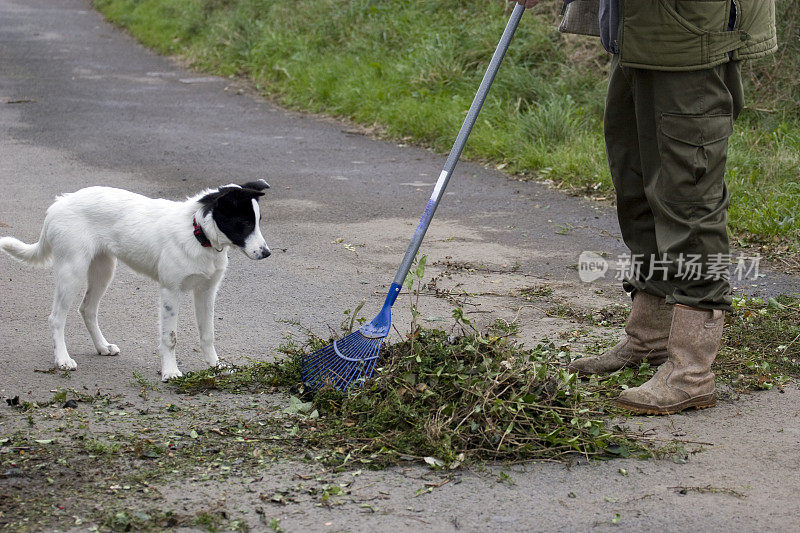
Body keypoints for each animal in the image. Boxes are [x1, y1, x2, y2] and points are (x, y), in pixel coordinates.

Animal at [0, 181, 272, 380]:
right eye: (244, 222)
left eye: (257, 223)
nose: (267, 253)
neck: (197, 234)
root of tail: (58, 204)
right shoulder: (170, 291)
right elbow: (170, 337)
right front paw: (170, 372)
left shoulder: (206, 290)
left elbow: (208, 334)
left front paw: (215, 366)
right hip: (72, 271)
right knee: (56, 318)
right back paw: (63, 360)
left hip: (104, 270)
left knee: (87, 309)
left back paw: (102, 346)